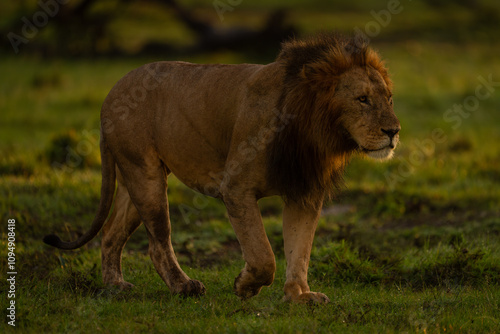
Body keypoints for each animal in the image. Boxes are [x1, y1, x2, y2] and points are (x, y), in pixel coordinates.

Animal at [45, 33, 400, 302]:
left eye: (390, 98)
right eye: (362, 99)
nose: (394, 131)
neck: (315, 131)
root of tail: (112, 91)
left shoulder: (304, 193)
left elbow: (299, 250)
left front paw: (298, 295)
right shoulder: (236, 188)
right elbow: (263, 255)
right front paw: (245, 286)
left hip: (138, 177)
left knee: (110, 234)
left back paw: (115, 286)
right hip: (144, 175)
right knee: (158, 241)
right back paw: (184, 287)